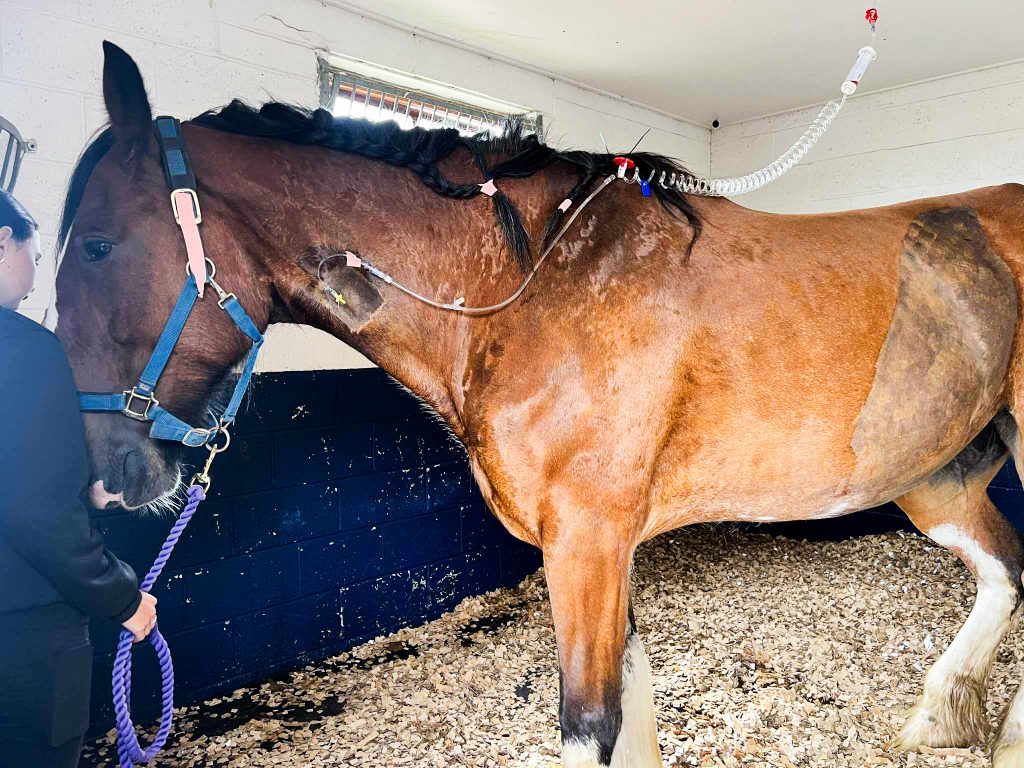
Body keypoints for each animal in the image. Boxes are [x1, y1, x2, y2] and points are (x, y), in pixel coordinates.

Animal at [54, 42, 1024, 768]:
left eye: (98, 245)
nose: (105, 471)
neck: (526, 292)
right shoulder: (601, 549)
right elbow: (631, 705)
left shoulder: (586, 541)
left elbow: (589, 725)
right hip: (936, 475)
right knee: (1006, 571)